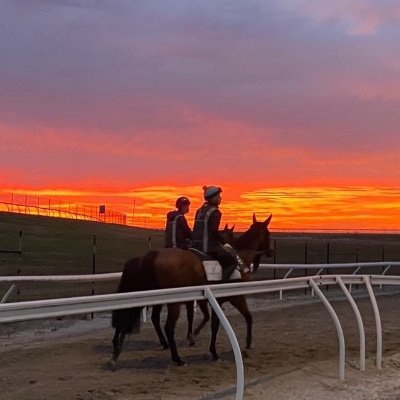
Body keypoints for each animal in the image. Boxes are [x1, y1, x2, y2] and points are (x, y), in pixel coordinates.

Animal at [110, 212, 272, 368]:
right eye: (268, 233)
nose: (270, 251)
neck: (240, 258)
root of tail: (150, 255)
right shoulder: (236, 297)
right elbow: (246, 317)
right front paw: (247, 343)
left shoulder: (210, 300)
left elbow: (210, 322)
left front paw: (207, 347)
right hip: (172, 302)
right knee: (167, 327)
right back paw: (177, 358)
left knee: (136, 316)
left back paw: (118, 350)